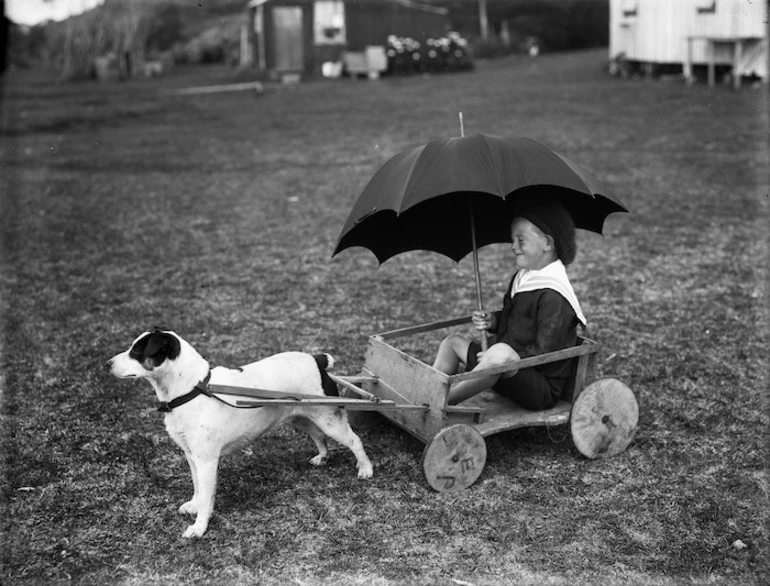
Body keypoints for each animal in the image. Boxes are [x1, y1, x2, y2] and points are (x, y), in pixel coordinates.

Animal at [107, 326, 372, 536]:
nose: (107, 364)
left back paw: (366, 469)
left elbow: (206, 494)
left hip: (329, 418)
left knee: (354, 440)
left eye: (137, 352)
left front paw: (199, 527)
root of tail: (317, 360)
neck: (193, 390)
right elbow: (197, 487)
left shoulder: (207, 460)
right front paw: (194, 505)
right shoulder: (191, 456)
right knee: (318, 436)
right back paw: (323, 457)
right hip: (302, 417)